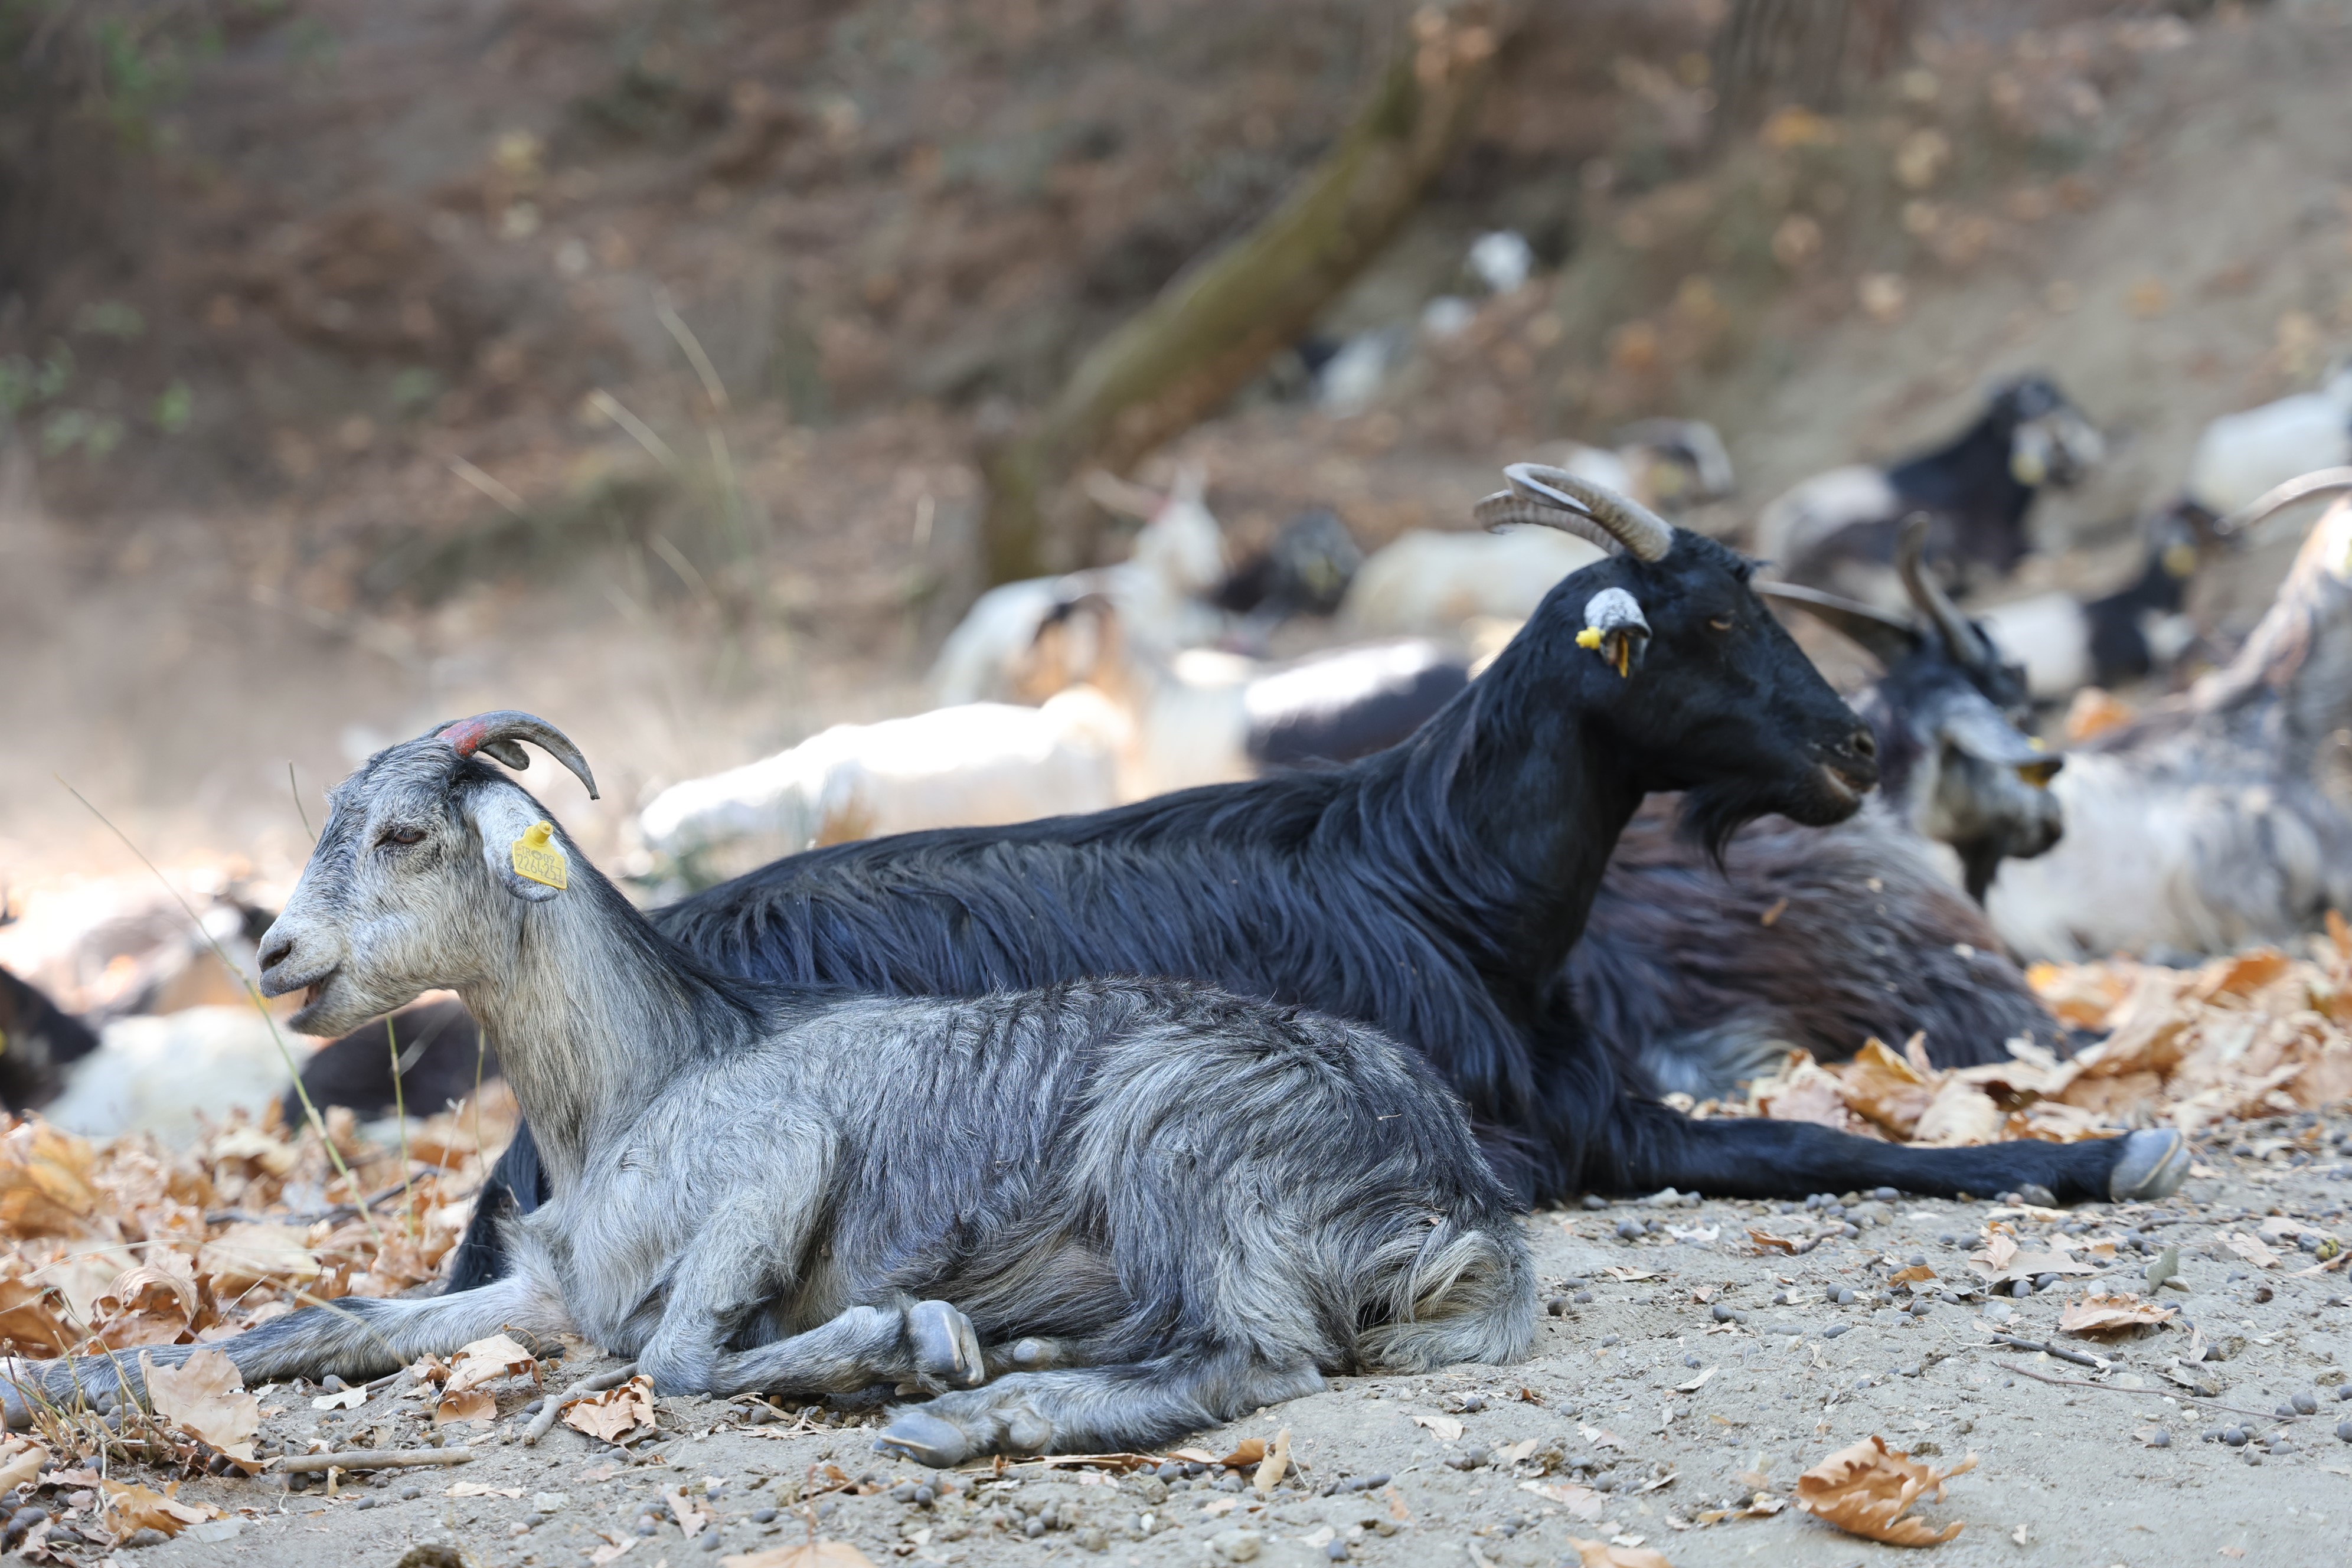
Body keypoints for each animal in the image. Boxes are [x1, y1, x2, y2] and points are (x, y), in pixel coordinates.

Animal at [0, 719, 1533, 1466]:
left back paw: (978, 1408)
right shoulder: (549, 1288)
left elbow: (678, 1360)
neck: (648, 1075)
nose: (276, 956)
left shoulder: (773, 1167)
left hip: (1180, 1138)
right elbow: (321, 1322)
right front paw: (48, 1375)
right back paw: (1019, 1353)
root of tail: (1457, 1193)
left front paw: (891, 1344)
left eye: (408, 832)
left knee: (1256, 1357)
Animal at [444, 470, 2183, 1298]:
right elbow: (1826, 1143)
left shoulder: (1598, 1100)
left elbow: (1817, 1136)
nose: (1848, 752)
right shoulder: (1546, 1129)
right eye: (1700, 627)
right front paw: (2109, 1153)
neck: (1438, 885)